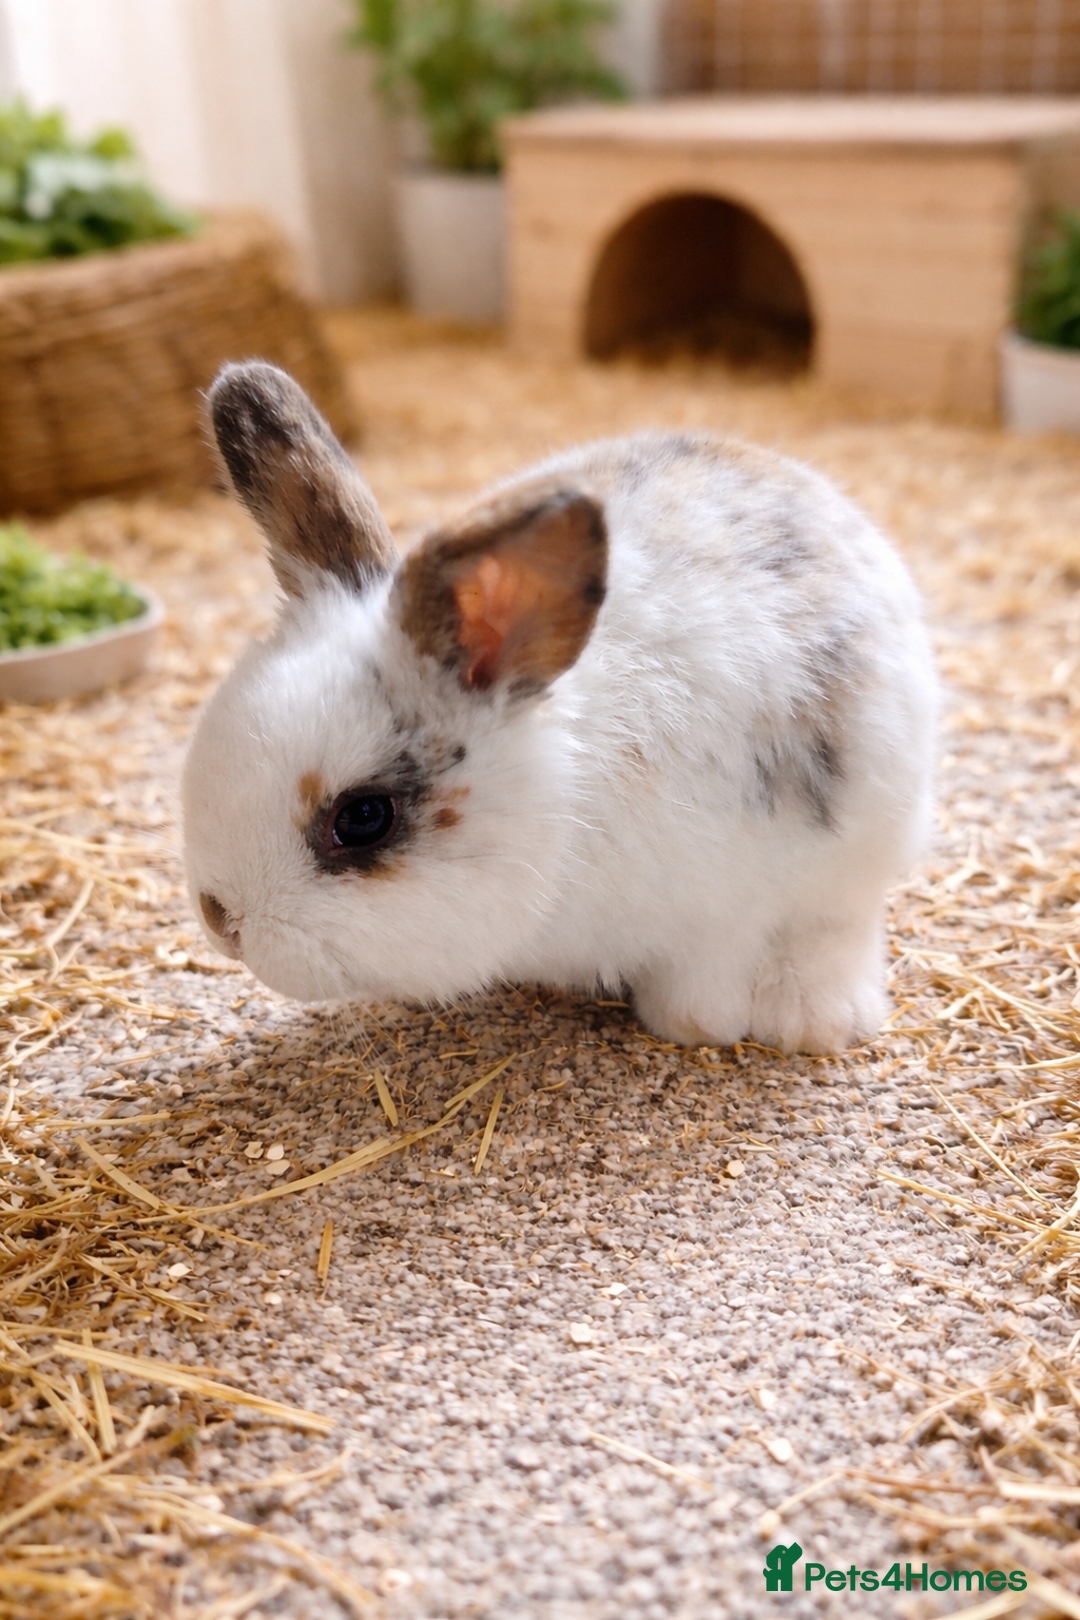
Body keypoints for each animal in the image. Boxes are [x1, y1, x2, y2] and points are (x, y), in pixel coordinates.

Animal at [182, 360, 937, 1055]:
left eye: (363, 818)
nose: (222, 921)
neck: (563, 800)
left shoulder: (724, 911)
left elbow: (709, 978)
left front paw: (695, 1025)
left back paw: (817, 1021)